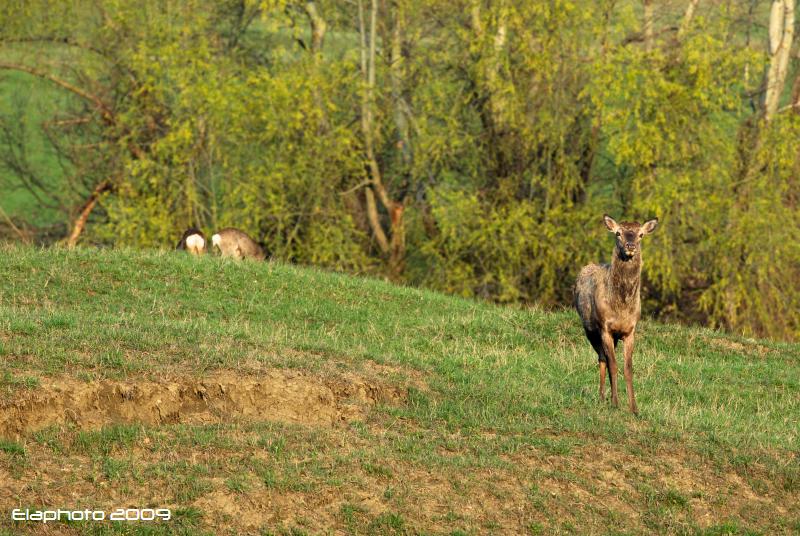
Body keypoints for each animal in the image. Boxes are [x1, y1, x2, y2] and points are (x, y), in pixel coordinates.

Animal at [576, 214, 656, 414]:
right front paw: (615, 403)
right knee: (602, 359)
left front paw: (634, 408)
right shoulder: (605, 328)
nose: (630, 245)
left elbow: (628, 368)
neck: (621, 308)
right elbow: (613, 364)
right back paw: (603, 397)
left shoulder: (630, 331)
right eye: (618, 233)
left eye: (641, 235)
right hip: (590, 330)